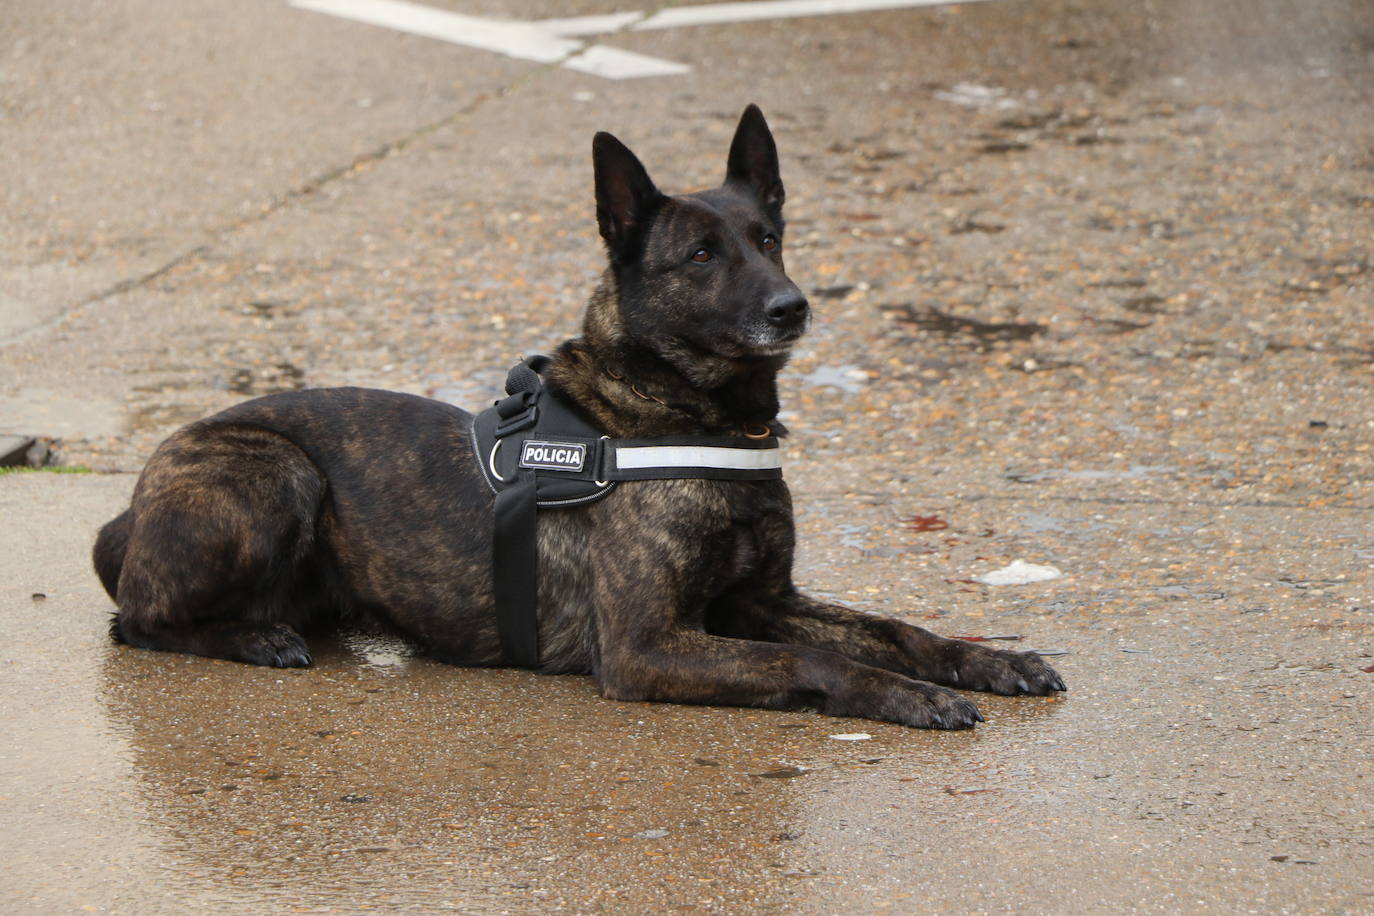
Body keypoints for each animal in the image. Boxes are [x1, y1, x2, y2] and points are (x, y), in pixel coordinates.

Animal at [94, 103, 1060, 725]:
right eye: (700, 255)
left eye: (770, 239)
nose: (792, 308)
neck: (690, 418)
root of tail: (130, 509)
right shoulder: (647, 645)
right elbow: (814, 657)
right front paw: (909, 695)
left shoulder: (761, 603)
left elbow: (892, 627)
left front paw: (986, 658)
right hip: (276, 469)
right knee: (137, 621)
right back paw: (257, 639)